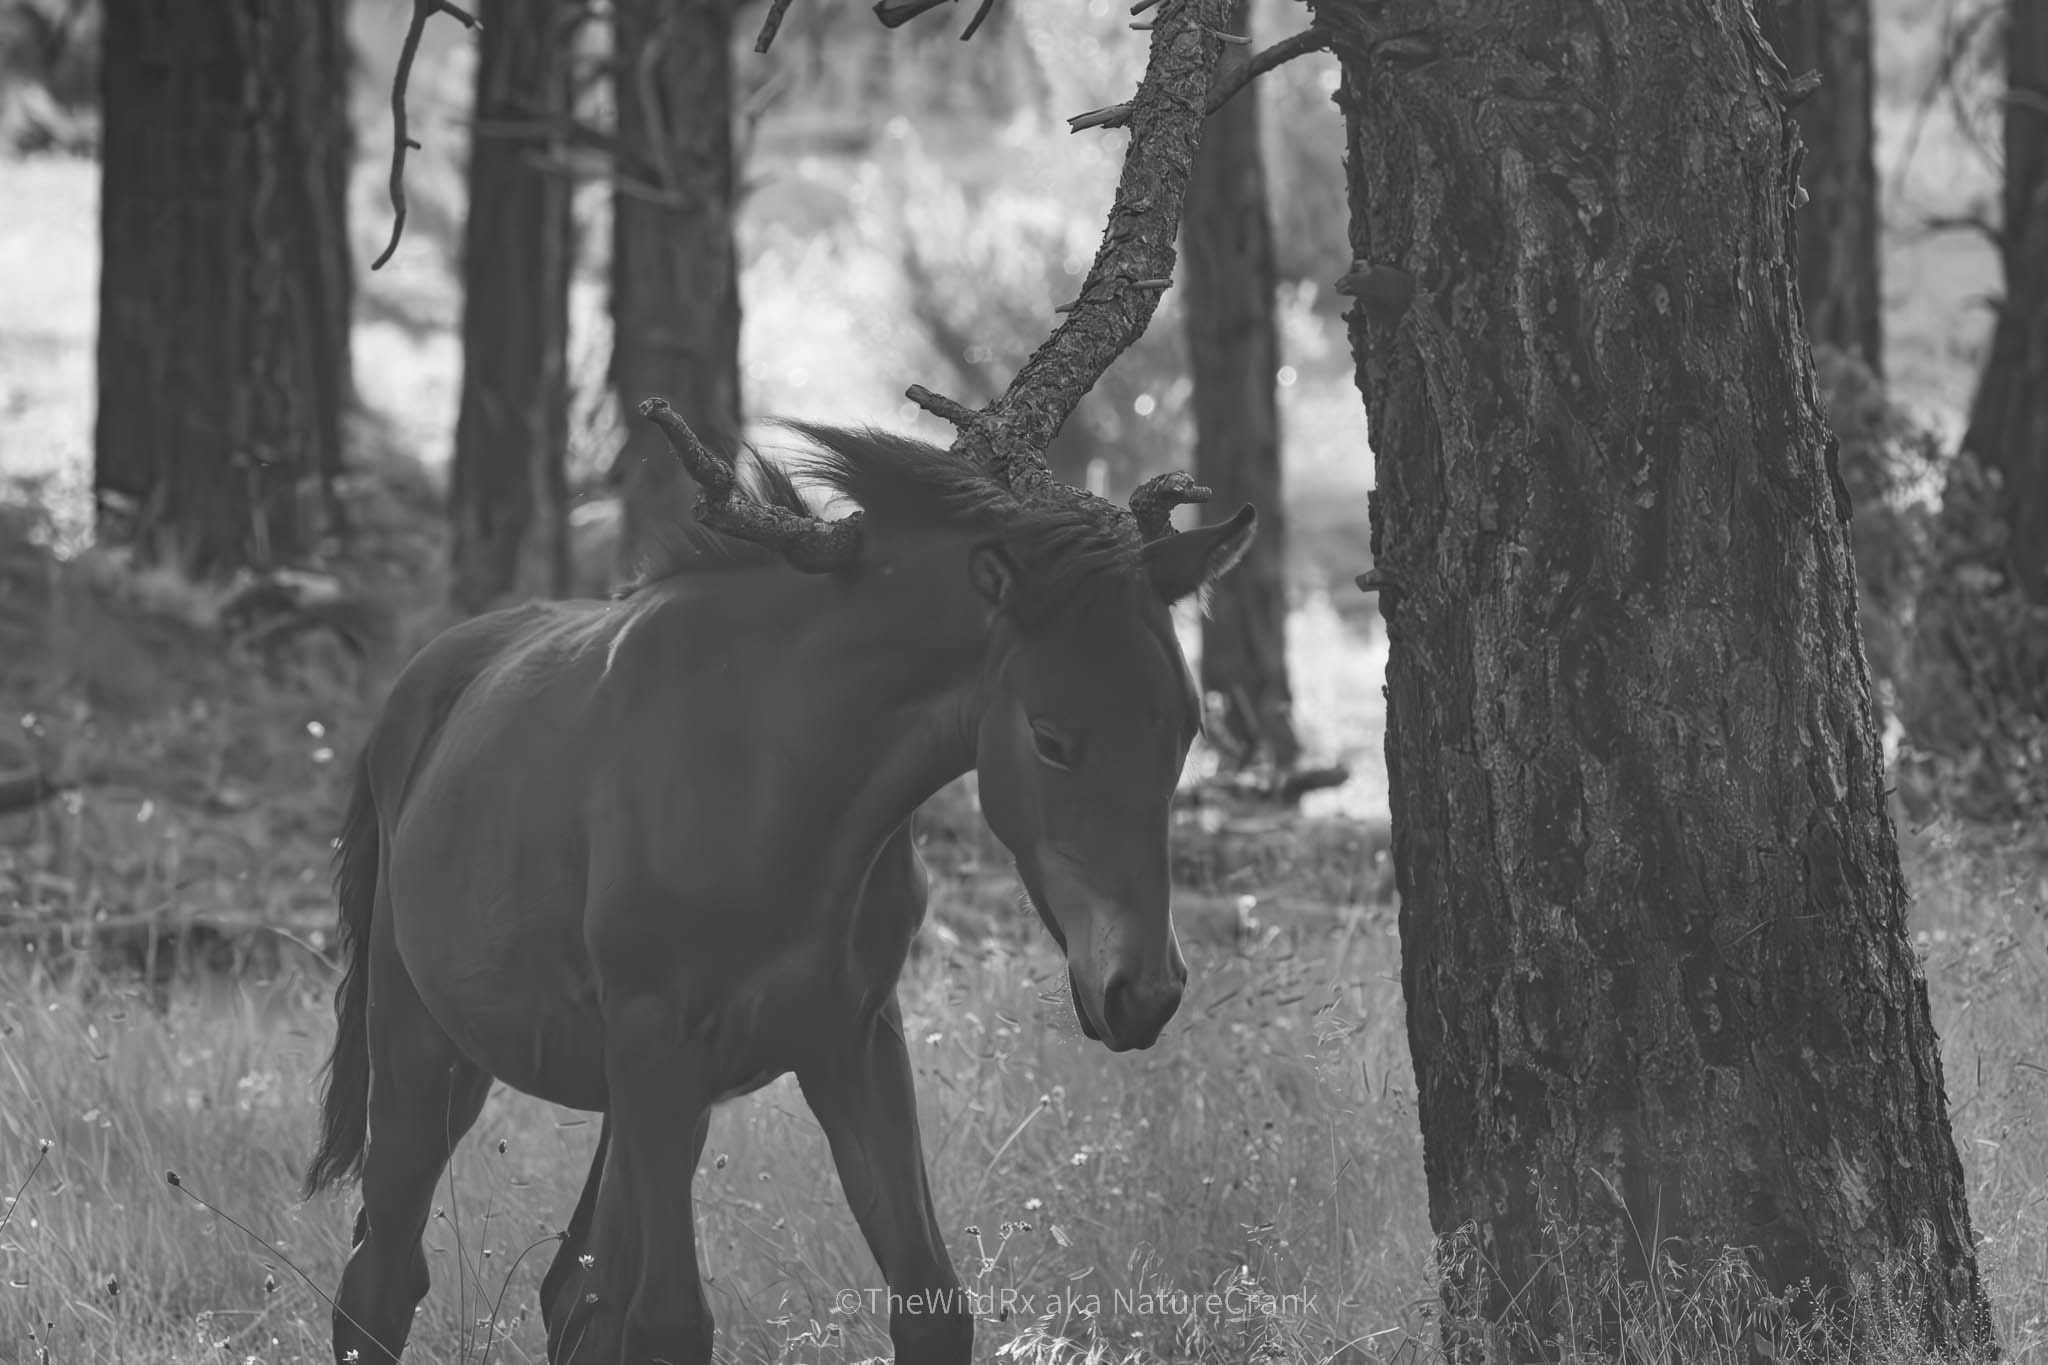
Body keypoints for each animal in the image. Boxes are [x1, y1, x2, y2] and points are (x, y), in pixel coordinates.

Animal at [301, 407, 1255, 1365]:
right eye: (1052, 738)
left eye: (1186, 728)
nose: (1143, 993)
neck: (779, 770)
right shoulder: (659, 1048)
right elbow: (670, 1320)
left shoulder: (849, 1042)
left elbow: (931, 1301)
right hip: (428, 1056)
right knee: (381, 1282)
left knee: (572, 1291)